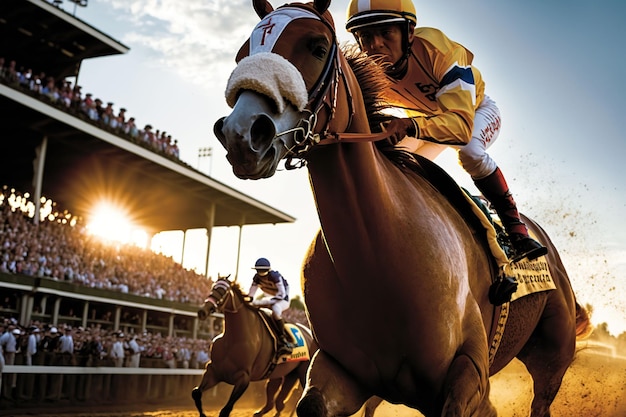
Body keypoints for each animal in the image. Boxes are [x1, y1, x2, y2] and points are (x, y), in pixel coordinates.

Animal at [193, 274, 316, 414]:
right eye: (213, 287)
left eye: (223, 291)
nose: (202, 311)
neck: (233, 339)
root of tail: (309, 333)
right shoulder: (214, 370)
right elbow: (196, 393)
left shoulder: (243, 378)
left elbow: (226, 410)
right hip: (282, 374)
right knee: (275, 403)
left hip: (302, 373)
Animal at [211, 0, 588, 412]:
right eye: (242, 54)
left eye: (316, 47)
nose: (242, 134)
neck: (379, 256)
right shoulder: (337, 370)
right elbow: (311, 402)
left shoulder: (468, 372)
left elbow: (457, 119)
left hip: (552, 355)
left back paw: (521, 240)